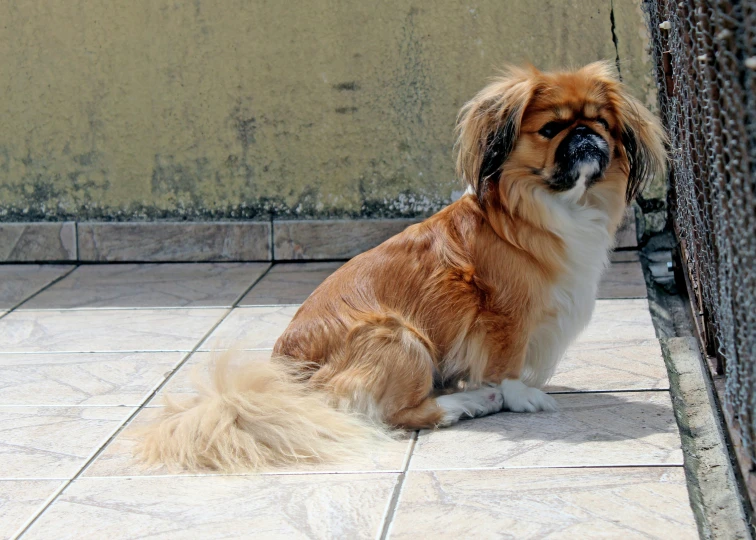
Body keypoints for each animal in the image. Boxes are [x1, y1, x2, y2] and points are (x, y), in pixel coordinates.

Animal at [134, 60, 660, 472]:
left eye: (602, 123)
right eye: (551, 129)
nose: (586, 135)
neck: (546, 206)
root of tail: (287, 385)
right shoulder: (505, 314)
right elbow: (506, 365)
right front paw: (520, 397)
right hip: (400, 337)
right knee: (395, 415)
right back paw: (469, 403)